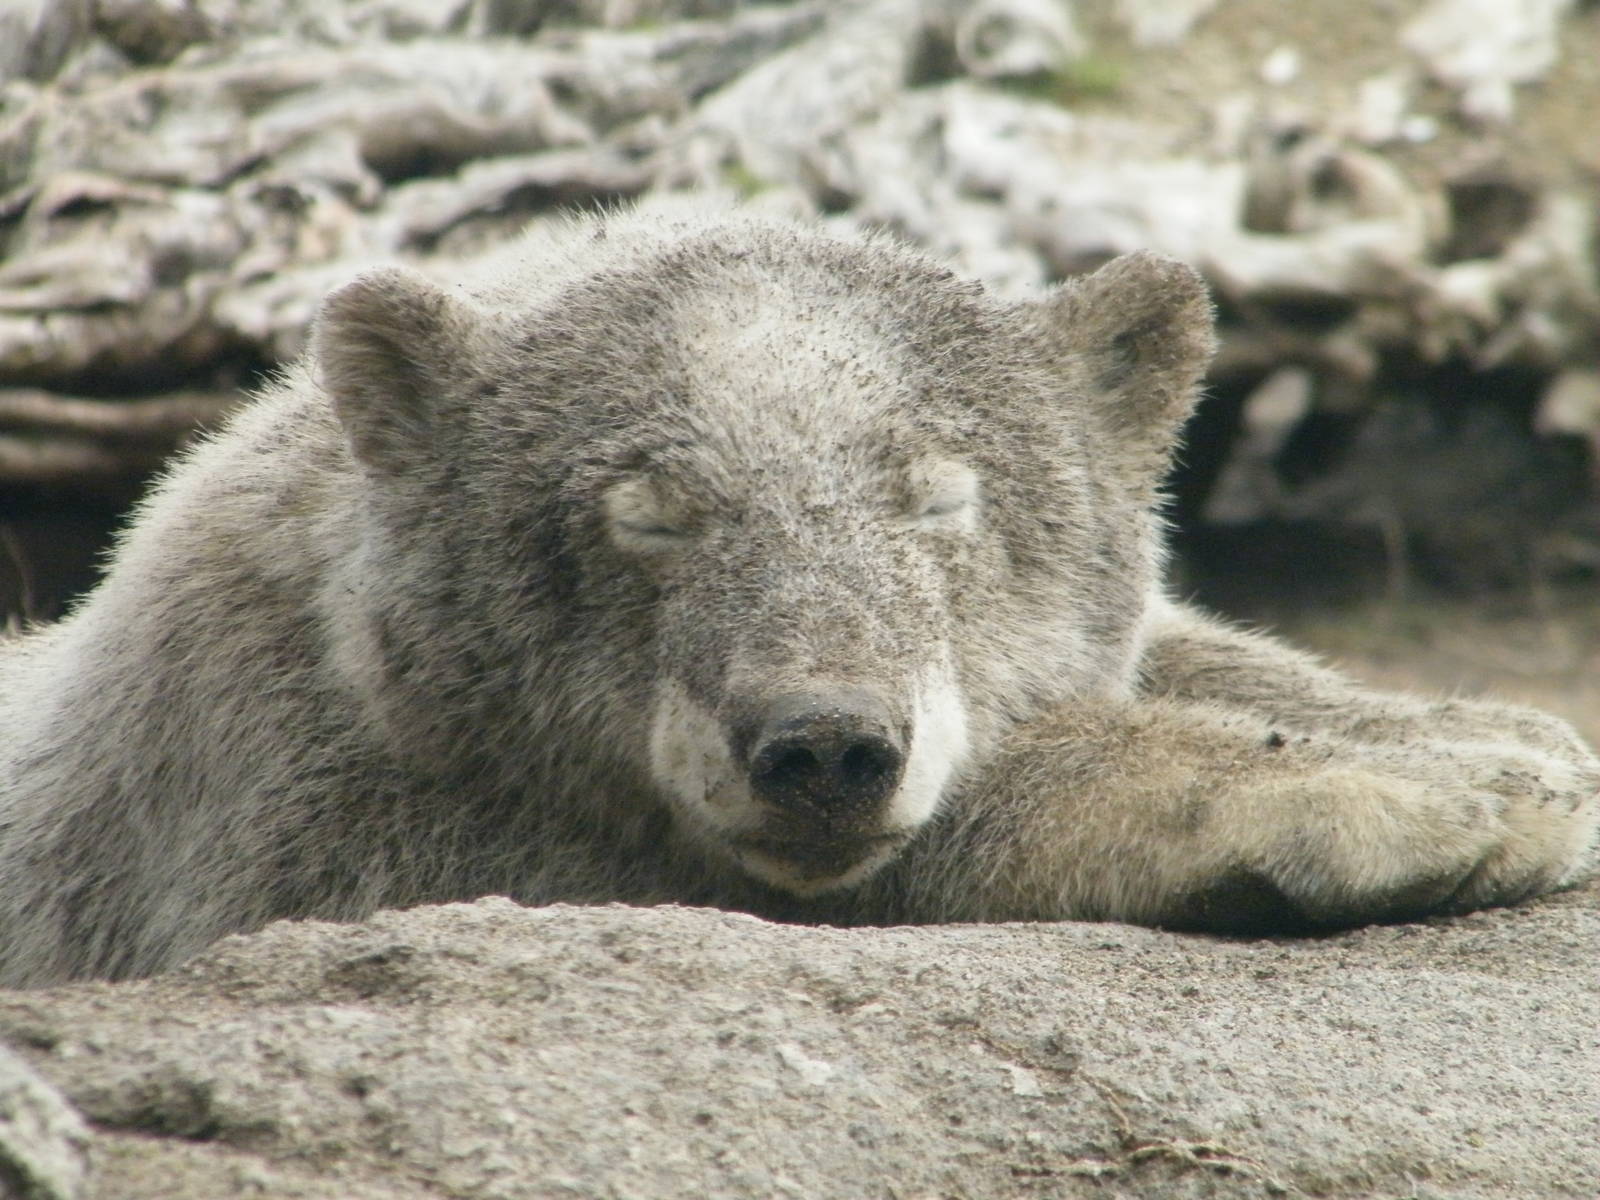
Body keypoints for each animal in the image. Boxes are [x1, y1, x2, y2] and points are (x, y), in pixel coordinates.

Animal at [0, 197, 1596, 987]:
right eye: (649, 514)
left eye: (937, 497)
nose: (825, 747)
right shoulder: (262, 812)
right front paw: (1406, 798)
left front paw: (1488, 735)